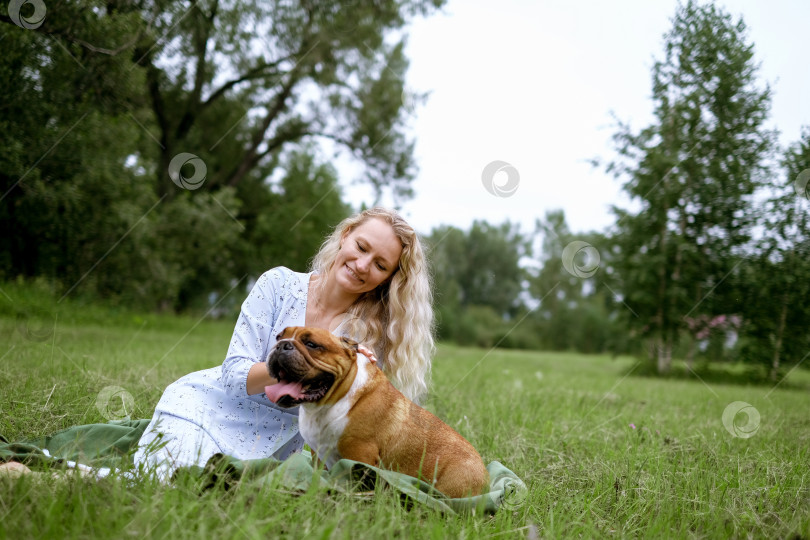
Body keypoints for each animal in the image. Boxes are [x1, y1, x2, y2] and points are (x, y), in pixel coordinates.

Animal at [264, 324, 486, 498]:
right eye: (278, 337)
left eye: (311, 345)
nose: (282, 345)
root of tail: (486, 479)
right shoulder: (319, 454)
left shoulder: (360, 455)